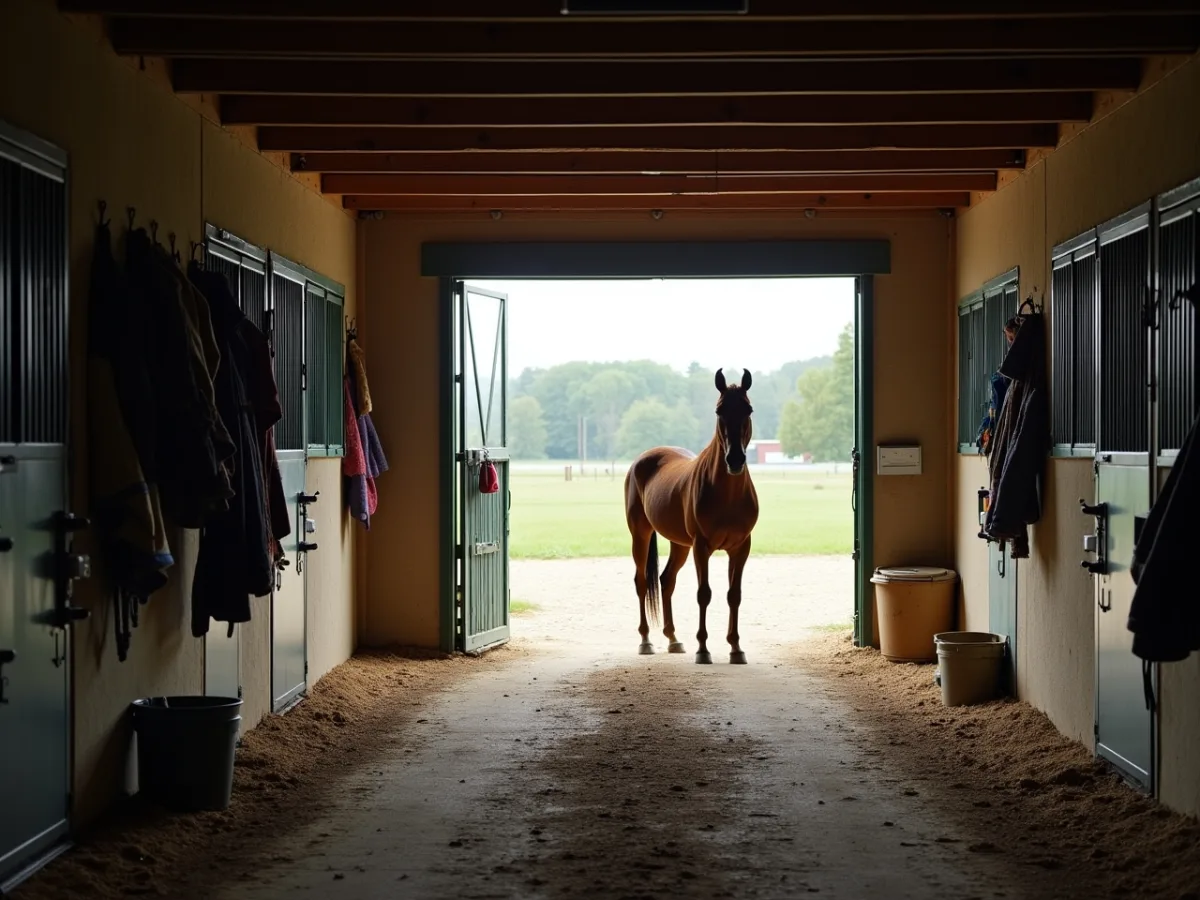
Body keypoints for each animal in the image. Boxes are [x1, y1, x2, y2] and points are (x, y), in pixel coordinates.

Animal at [623, 368, 759, 665]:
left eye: (748, 409)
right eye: (719, 411)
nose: (735, 460)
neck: (727, 494)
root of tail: (643, 458)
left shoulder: (741, 547)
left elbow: (734, 595)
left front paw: (736, 648)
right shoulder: (701, 546)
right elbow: (704, 594)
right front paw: (703, 649)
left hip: (679, 544)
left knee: (666, 581)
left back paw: (673, 639)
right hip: (641, 534)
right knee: (642, 582)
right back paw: (646, 641)